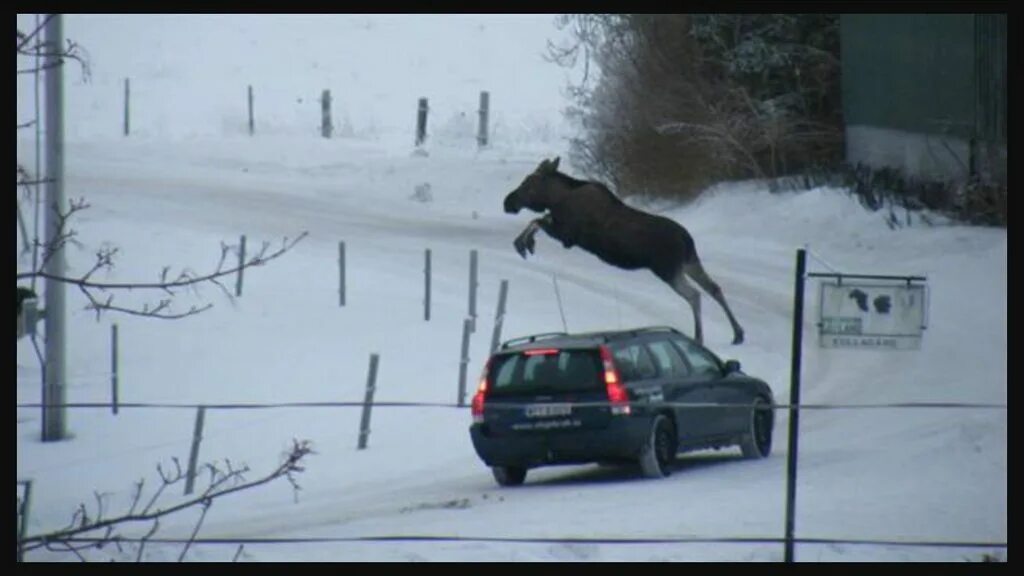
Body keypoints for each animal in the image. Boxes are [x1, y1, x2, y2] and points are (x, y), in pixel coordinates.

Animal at [503, 156, 745, 342]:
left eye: (528, 182)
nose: (508, 201)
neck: (557, 199)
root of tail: (687, 239)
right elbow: (539, 219)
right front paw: (525, 242)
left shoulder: (568, 236)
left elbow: (536, 220)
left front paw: (522, 243)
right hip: (689, 262)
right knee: (714, 288)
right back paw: (738, 333)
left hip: (668, 269)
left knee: (694, 295)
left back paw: (699, 337)